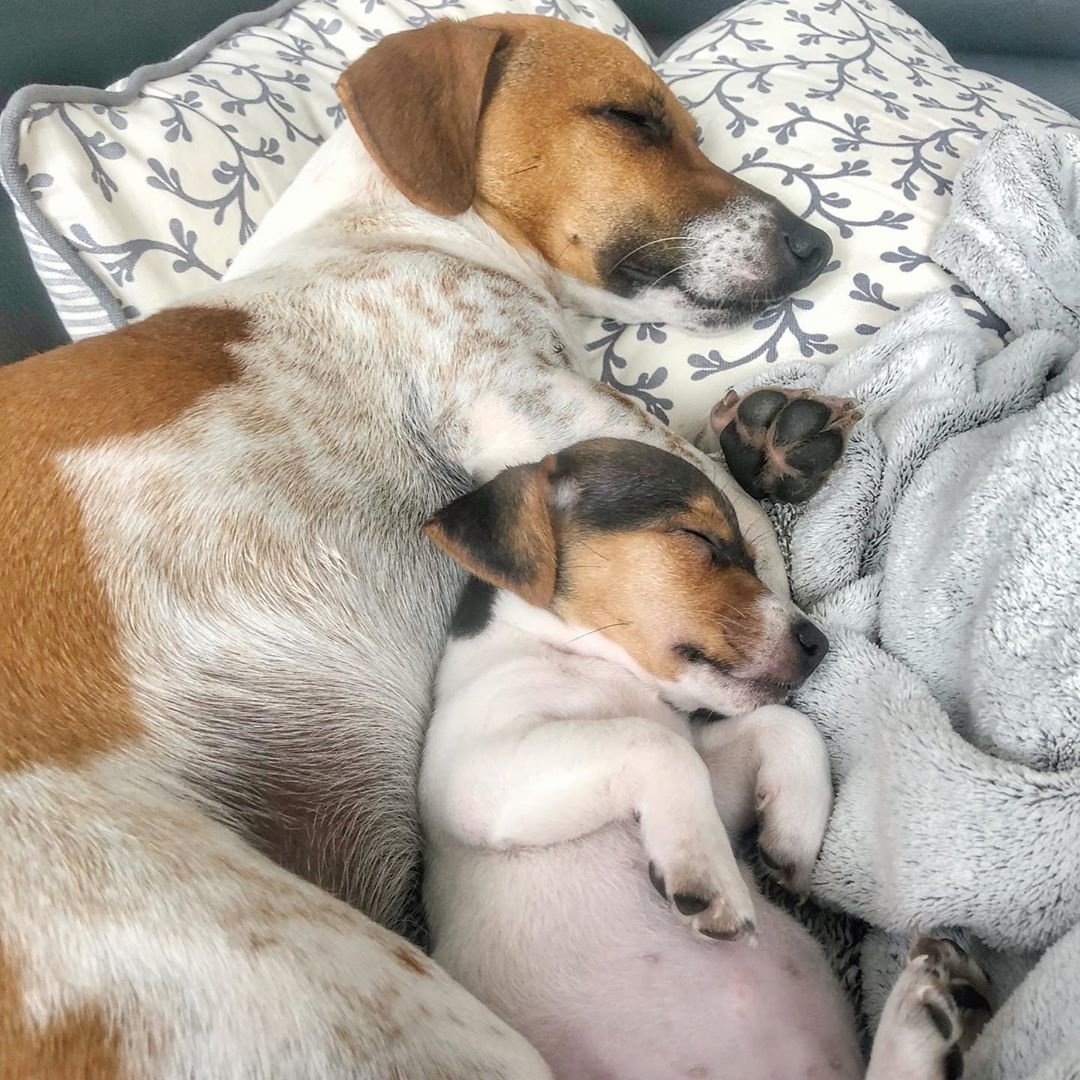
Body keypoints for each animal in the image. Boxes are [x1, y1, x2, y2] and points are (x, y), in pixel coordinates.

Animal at [0, 16, 881, 1080]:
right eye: (632, 118)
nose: (817, 243)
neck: (400, 227)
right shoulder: (520, 402)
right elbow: (720, 512)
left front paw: (770, 439)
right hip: (362, 1000)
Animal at [419, 436, 989, 1080]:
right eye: (698, 538)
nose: (818, 644)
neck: (601, 670)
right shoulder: (480, 774)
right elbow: (659, 746)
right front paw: (709, 870)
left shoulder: (714, 771)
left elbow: (785, 727)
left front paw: (793, 840)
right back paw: (927, 1010)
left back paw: (931, 1009)